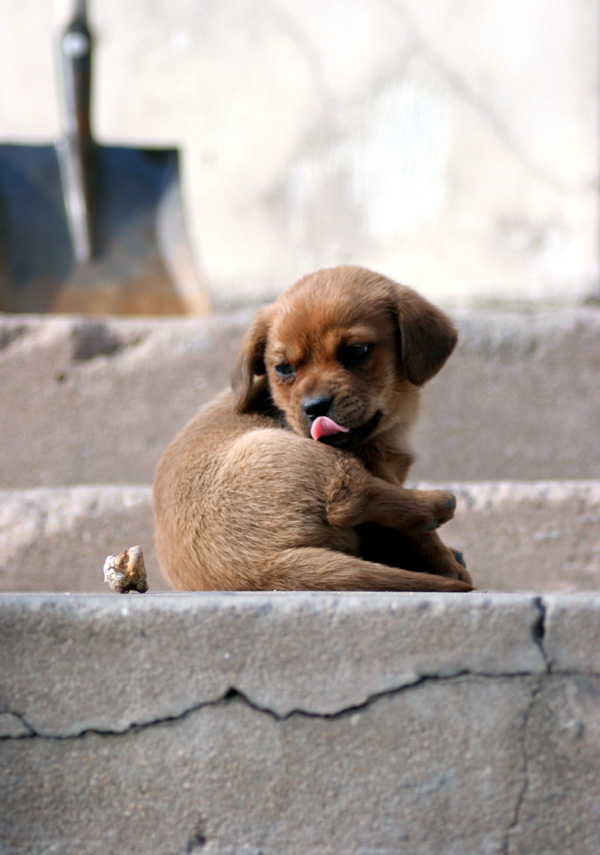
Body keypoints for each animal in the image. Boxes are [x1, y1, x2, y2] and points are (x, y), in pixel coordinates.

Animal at [155, 264, 474, 592]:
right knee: (349, 499)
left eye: (356, 351)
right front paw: (446, 562)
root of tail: (257, 567)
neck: (391, 427)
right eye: (283, 368)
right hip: (296, 453)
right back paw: (438, 504)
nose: (314, 407)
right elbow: (419, 537)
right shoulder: (375, 465)